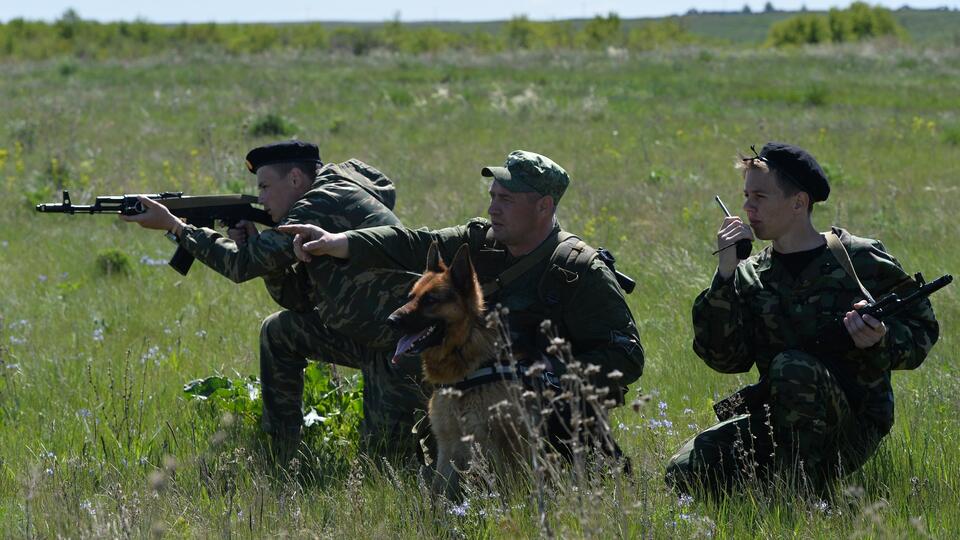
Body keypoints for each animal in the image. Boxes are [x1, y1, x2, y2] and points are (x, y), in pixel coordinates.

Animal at [388, 244, 532, 498]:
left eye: (430, 300)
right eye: (411, 297)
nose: (390, 320)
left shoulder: (502, 445)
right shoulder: (448, 447)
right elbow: (437, 494)